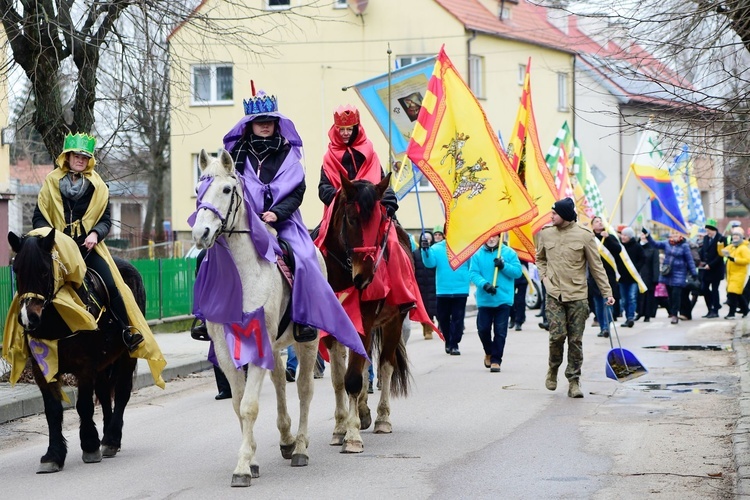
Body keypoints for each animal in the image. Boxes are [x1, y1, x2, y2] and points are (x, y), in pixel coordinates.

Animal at [7, 230, 142, 472]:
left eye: (44, 270)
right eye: (17, 270)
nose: (28, 318)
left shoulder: (85, 367)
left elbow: (84, 405)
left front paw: (89, 446)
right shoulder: (43, 369)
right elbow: (53, 410)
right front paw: (53, 455)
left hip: (127, 356)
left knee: (122, 392)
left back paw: (111, 439)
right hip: (104, 364)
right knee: (105, 394)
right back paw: (107, 437)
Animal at [191, 149, 320, 488]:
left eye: (226, 189)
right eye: (198, 189)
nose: (200, 233)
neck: (242, 273)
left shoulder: (258, 341)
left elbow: (249, 406)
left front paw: (242, 468)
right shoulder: (226, 349)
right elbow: (238, 405)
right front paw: (251, 460)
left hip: (308, 342)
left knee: (304, 389)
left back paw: (300, 448)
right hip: (275, 346)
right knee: (279, 382)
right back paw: (287, 440)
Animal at [318, 172, 412, 454]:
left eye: (380, 220)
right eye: (351, 218)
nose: (365, 276)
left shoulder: (365, 324)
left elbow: (353, 378)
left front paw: (352, 436)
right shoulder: (333, 329)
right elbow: (340, 379)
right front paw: (341, 427)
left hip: (393, 323)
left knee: (385, 366)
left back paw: (381, 418)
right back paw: (361, 412)